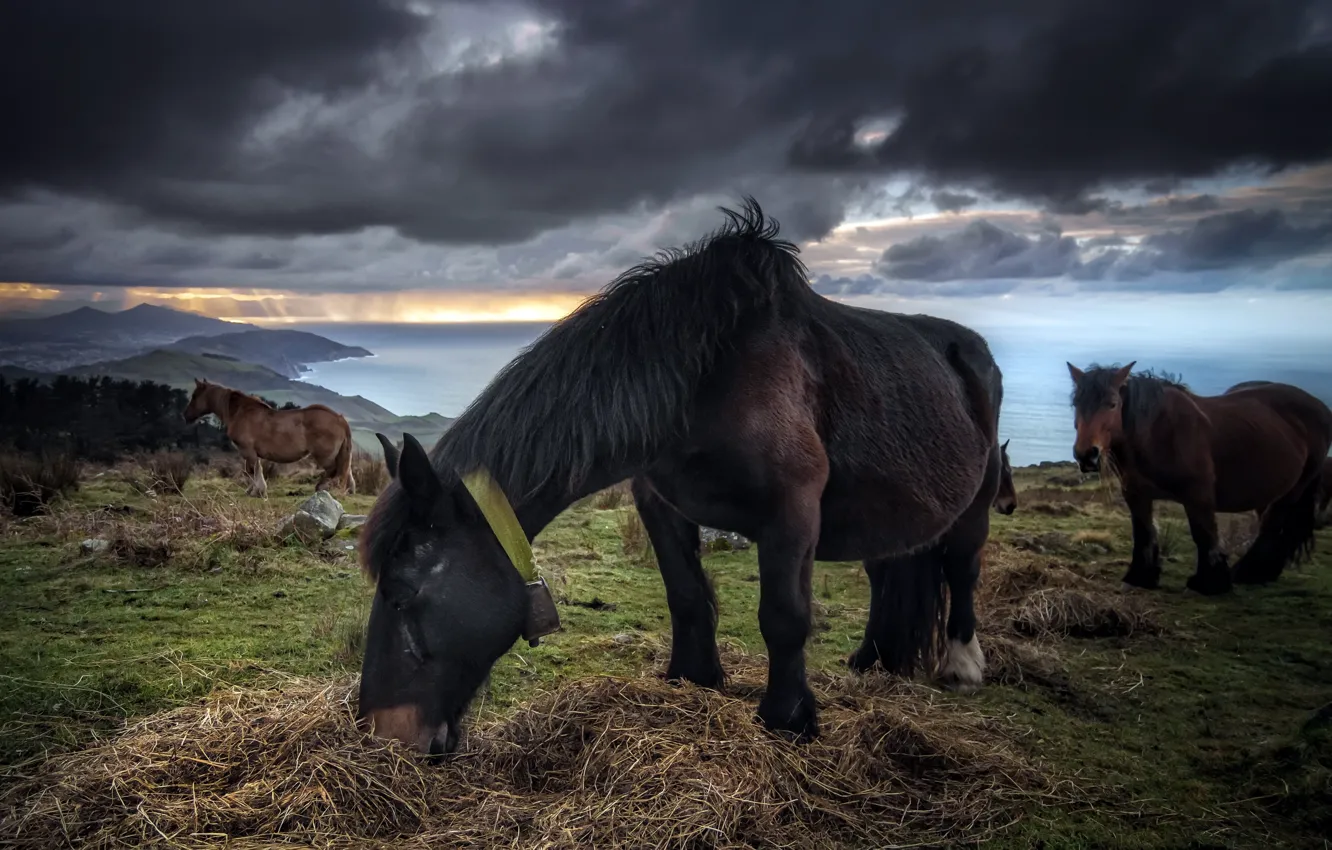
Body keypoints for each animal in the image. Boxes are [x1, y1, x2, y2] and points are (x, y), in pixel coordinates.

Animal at [183, 378, 355, 498]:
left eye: (195, 396)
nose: (185, 416)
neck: (239, 412)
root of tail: (339, 418)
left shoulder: (247, 450)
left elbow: (251, 471)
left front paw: (256, 491)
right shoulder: (252, 452)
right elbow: (256, 469)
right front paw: (256, 490)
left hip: (324, 456)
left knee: (333, 470)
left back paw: (322, 487)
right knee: (345, 471)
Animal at [355, 199, 999, 756]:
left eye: (401, 595)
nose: (383, 735)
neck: (709, 378)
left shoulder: (792, 511)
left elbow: (783, 617)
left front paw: (789, 719)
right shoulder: (659, 502)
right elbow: (685, 594)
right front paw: (693, 679)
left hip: (976, 502)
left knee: (963, 568)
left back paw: (963, 664)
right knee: (887, 572)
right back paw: (871, 659)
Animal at [1067, 363, 1332, 595]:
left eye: (1112, 404)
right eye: (1076, 404)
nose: (1086, 455)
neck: (1158, 434)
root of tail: (1319, 406)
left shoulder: (1198, 495)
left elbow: (1204, 534)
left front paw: (1208, 584)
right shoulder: (1136, 494)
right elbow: (1143, 533)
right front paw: (1140, 577)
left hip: (1294, 490)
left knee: (1272, 525)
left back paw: (1247, 573)